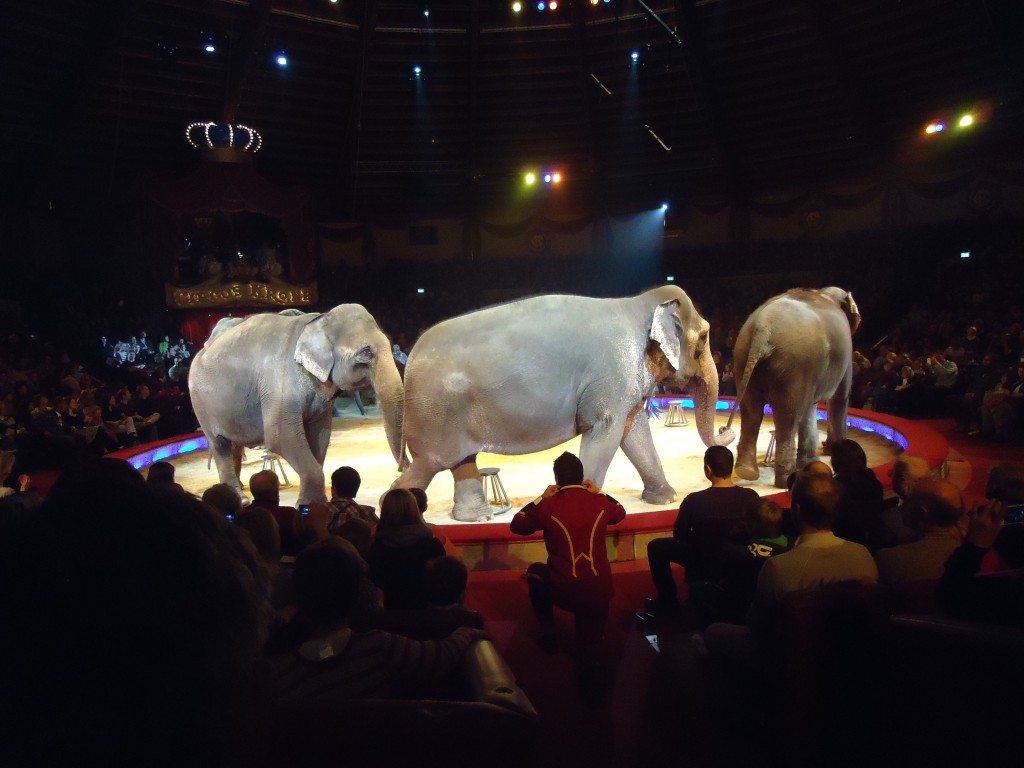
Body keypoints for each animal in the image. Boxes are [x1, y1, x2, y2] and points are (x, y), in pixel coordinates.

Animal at [189, 305, 405, 505]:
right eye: (366, 353)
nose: (399, 472)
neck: (318, 321)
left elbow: (320, 435)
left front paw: (310, 501)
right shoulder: (278, 383)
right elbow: (281, 437)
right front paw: (311, 505)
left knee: (232, 444)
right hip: (199, 402)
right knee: (220, 445)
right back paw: (240, 499)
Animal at [392, 285, 735, 521]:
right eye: (705, 337)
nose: (726, 430)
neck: (639, 303)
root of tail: (411, 358)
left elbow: (634, 433)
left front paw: (665, 499)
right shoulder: (611, 379)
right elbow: (606, 435)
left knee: (462, 461)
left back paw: (477, 517)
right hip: (435, 413)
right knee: (429, 464)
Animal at [727, 287, 861, 488]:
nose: (825, 447)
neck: (824, 292)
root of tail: (763, 328)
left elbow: (810, 409)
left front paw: (810, 461)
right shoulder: (845, 355)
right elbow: (839, 397)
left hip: (743, 359)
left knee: (752, 412)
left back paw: (747, 471)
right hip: (794, 366)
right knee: (787, 417)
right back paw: (785, 480)